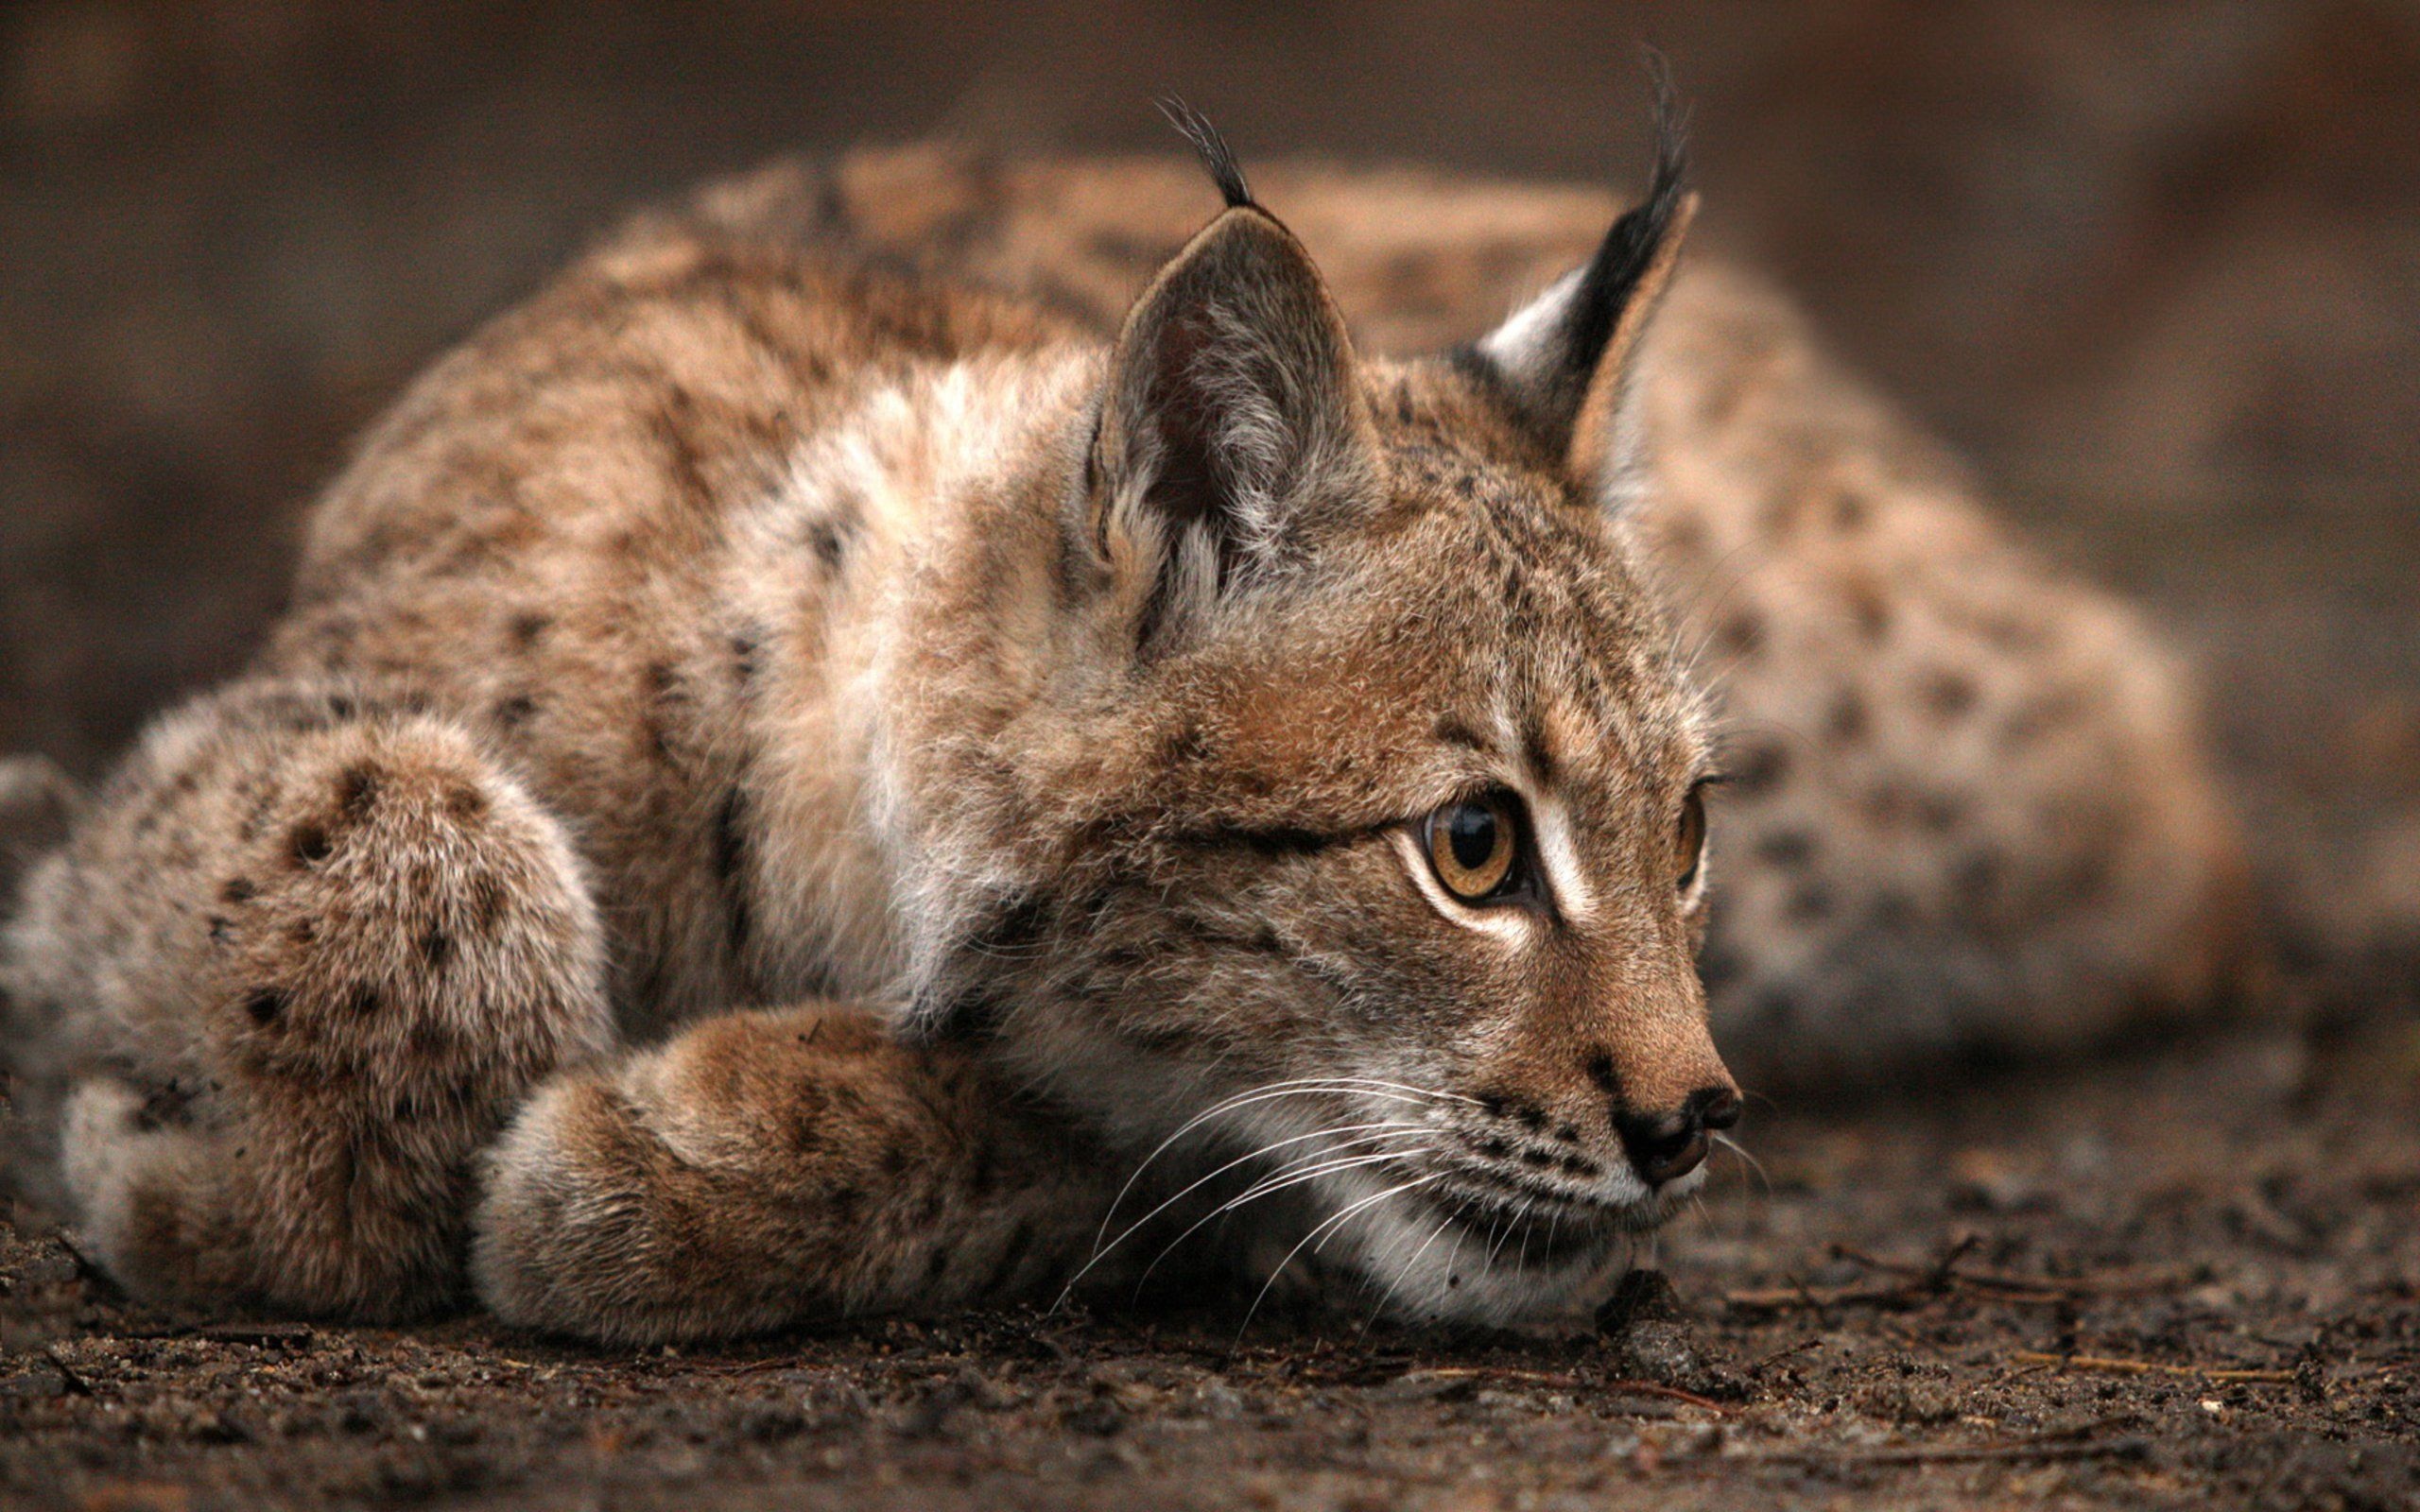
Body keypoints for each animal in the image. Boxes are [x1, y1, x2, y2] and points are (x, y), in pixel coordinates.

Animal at [0, 100, 2245, 1335]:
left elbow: (1107, 1134)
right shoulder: (197, 761)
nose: (1696, 1119)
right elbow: (411, 840)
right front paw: (233, 1193)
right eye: (1473, 847)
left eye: (1682, 831)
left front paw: (660, 1167)